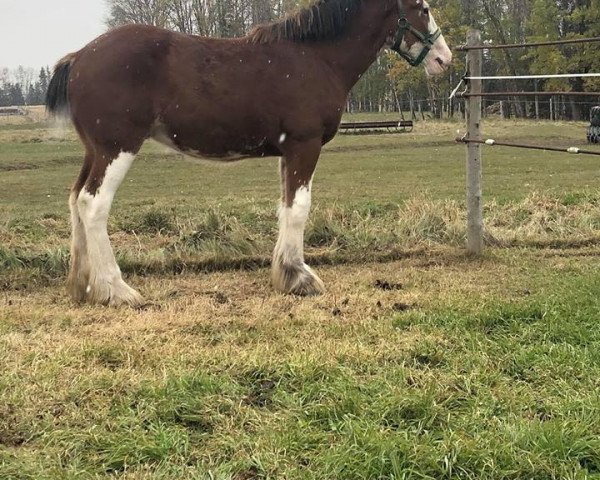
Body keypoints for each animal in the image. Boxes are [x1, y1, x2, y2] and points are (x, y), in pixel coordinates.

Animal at [45, 0, 450, 308]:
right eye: (424, 8)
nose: (444, 59)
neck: (315, 58)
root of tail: (79, 57)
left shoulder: (289, 152)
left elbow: (286, 207)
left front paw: (286, 274)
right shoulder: (305, 145)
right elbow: (299, 208)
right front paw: (301, 278)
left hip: (95, 151)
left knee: (75, 200)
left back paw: (84, 286)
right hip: (117, 148)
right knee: (94, 204)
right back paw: (117, 290)